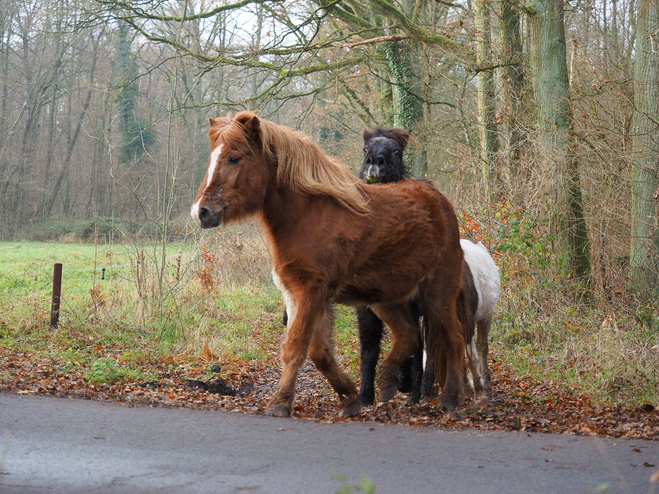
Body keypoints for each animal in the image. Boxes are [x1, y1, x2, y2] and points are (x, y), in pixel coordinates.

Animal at [193, 112, 466, 416]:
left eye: (234, 158)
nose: (202, 212)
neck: (307, 217)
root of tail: (438, 200)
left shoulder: (312, 292)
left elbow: (296, 347)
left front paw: (280, 402)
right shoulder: (300, 295)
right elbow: (319, 353)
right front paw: (350, 397)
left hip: (438, 293)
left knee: (453, 338)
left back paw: (450, 398)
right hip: (384, 298)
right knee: (407, 334)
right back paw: (387, 381)